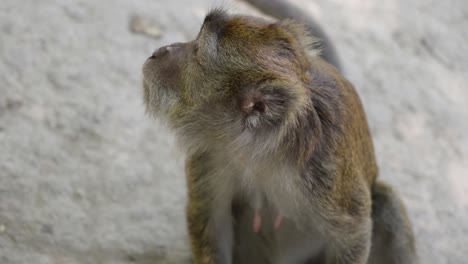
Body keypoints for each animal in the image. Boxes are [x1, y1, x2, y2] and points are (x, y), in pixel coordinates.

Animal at [142, 4, 416, 264]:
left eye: (197, 50)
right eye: (194, 41)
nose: (162, 51)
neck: (264, 150)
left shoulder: (325, 171)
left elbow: (353, 233)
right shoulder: (211, 152)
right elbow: (211, 219)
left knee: (387, 202)